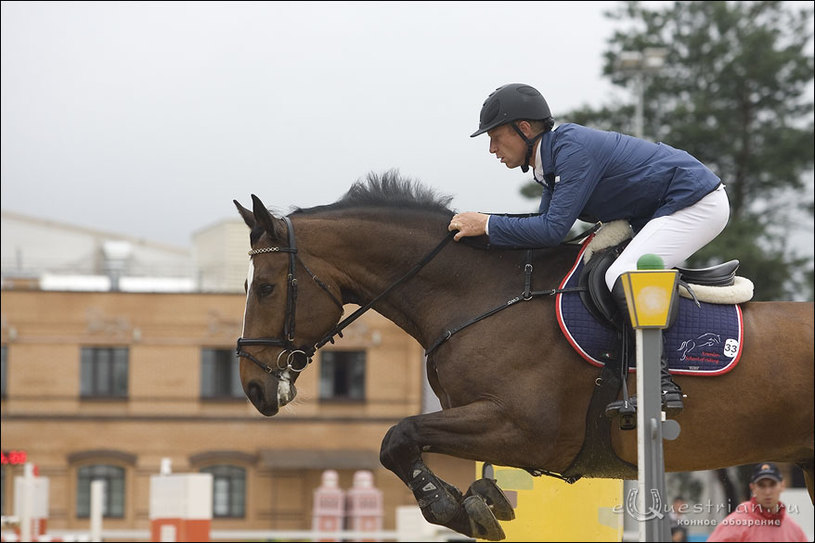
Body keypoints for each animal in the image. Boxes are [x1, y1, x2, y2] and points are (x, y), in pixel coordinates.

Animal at [233, 171, 812, 540]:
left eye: (264, 287)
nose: (253, 386)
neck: (482, 296)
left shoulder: (528, 430)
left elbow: (397, 437)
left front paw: (450, 506)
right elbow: (415, 443)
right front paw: (478, 502)